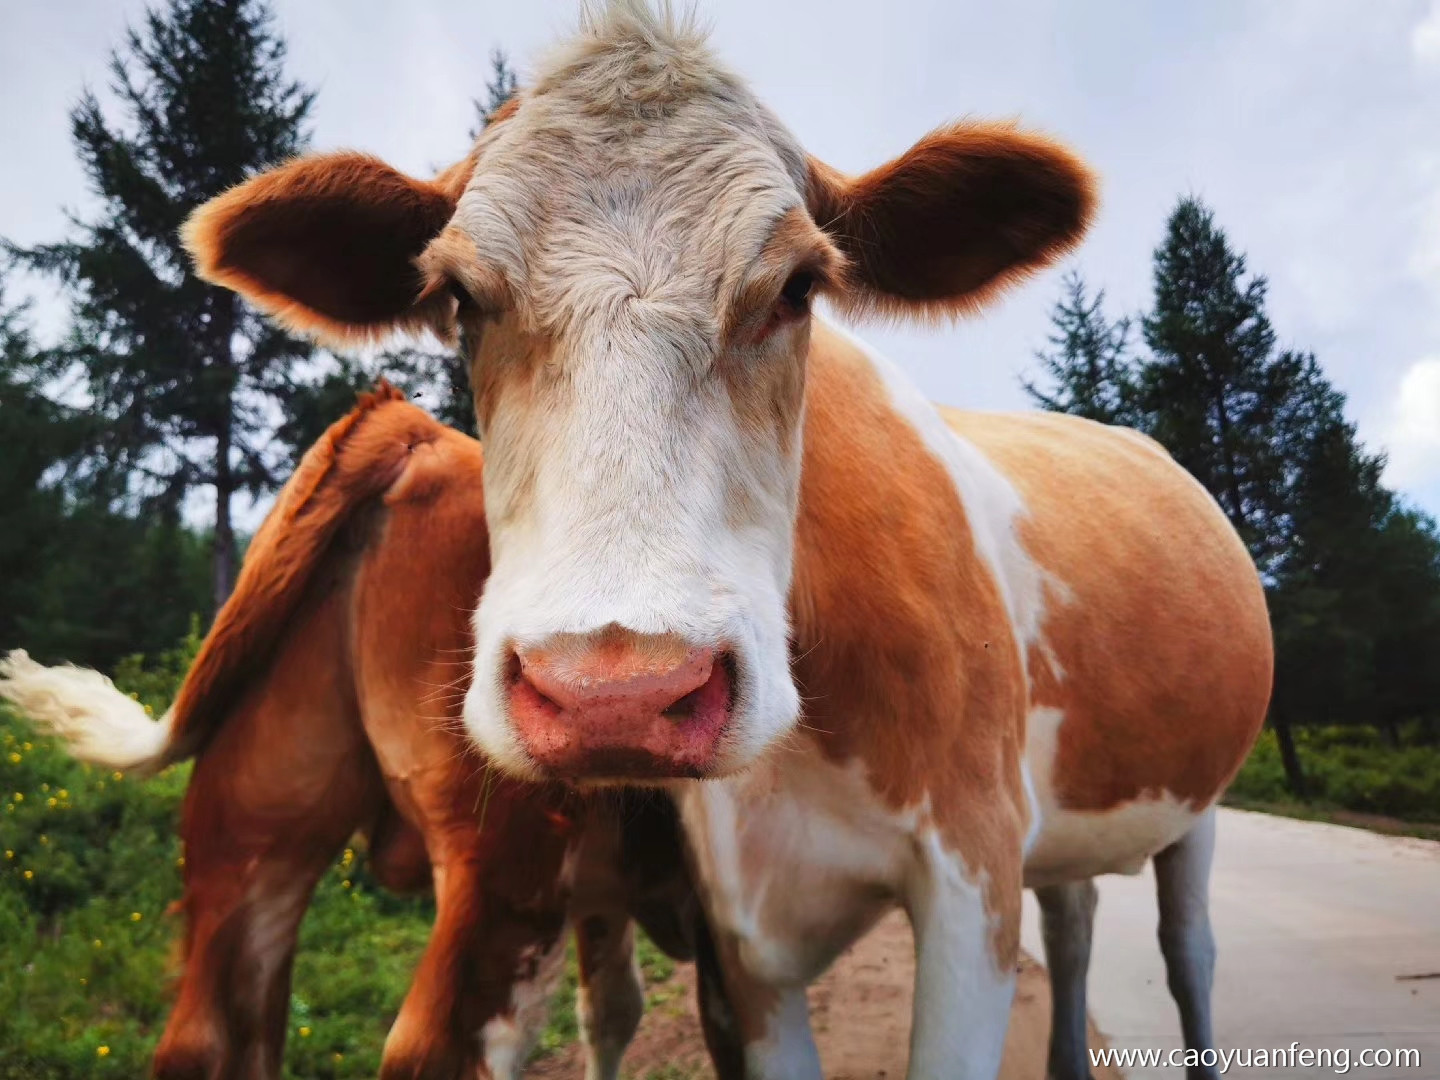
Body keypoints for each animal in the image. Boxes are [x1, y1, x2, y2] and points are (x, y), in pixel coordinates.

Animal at [160, 4, 1272, 1077]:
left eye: (798, 286)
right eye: (461, 298)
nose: (616, 694)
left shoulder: (972, 870)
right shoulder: (748, 936)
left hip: (1195, 807)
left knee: (1190, 955)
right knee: (1079, 920)